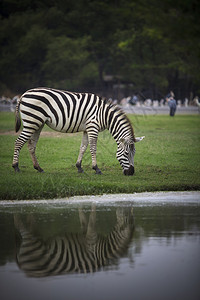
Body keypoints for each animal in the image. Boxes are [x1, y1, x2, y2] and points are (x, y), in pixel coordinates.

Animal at [12, 86, 144, 175]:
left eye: (134, 153)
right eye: (126, 153)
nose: (131, 173)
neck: (104, 115)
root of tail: (24, 94)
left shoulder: (87, 129)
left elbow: (83, 147)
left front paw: (79, 167)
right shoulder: (93, 127)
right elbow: (93, 148)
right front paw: (96, 169)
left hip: (38, 123)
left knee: (31, 145)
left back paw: (38, 168)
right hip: (31, 121)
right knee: (19, 142)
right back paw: (16, 167)